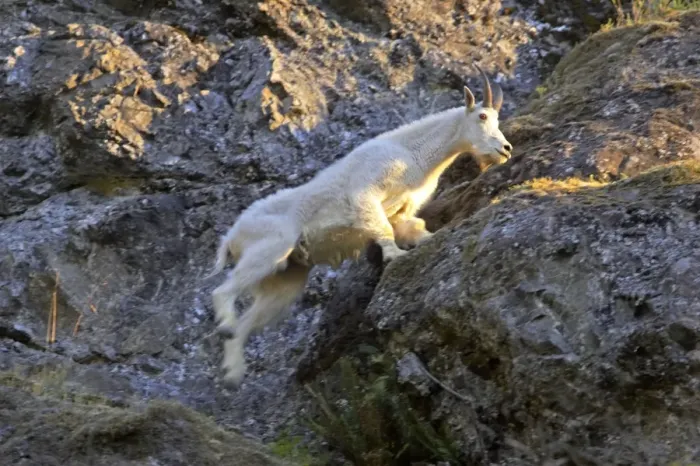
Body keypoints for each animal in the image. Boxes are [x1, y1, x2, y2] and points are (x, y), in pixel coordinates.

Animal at [208, 65, 513, 387]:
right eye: (483, 117)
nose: (506, 149)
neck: (412, 153)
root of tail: (231, 238)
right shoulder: (365, 194)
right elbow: (384, 230)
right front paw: (395, 257)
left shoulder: (402, 209)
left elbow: (412, 228)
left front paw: (432, 239)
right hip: (269, 248)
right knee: (222, 291)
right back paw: (225, 327)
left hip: (285, 279)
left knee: (248, 321)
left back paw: (232, 371)